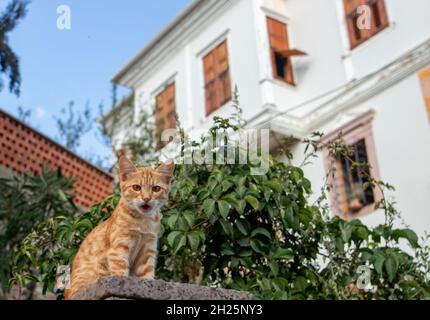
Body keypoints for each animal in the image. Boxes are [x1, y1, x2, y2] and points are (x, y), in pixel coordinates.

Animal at [65, 156, 175, 298]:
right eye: (136, 187)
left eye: (156, 188)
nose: (146, 198)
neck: (143, 221)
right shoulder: (118, 249)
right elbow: (121, 271)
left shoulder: (147, 250)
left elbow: (146, 273)